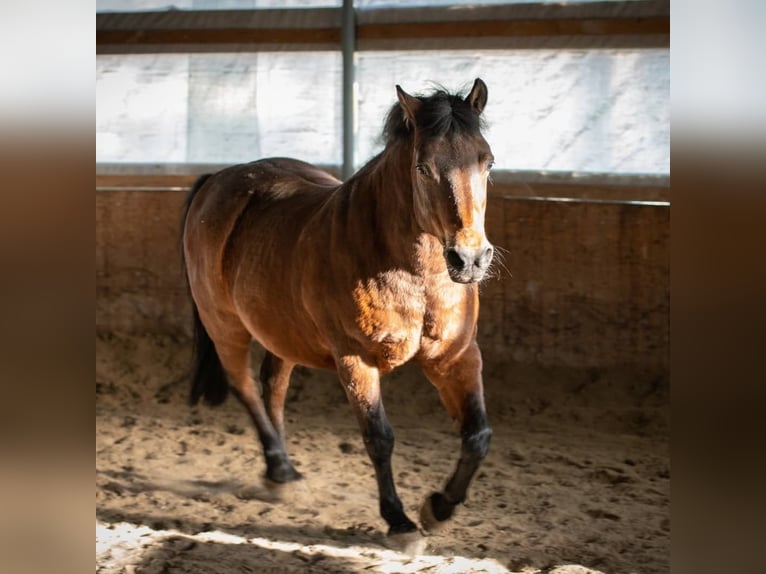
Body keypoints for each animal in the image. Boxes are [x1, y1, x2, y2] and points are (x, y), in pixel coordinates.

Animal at [184, 79, 498, 544]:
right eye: (422, 168)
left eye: (487, 162)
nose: (471, 258)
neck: (412, 274)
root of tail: (216, 180)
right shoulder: (355, 361)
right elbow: (378, 437)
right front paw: (399, 520)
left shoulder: (455, 357)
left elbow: (477, 435)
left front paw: (439, 508)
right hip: (226, 328)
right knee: (246, 387)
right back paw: (279, 468)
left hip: (281, 332)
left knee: (272, 390)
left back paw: (284, 472)